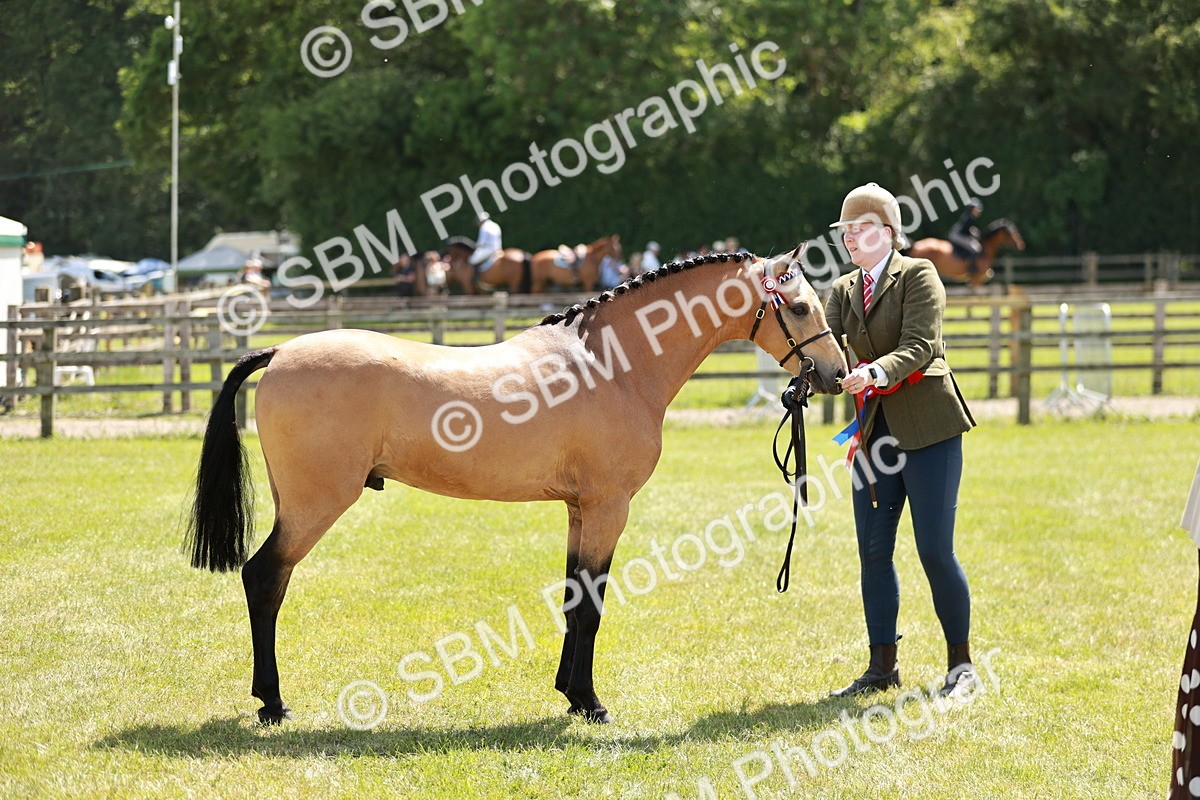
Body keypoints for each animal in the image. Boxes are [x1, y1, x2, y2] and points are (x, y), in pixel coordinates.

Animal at [185, 247, 847, 726]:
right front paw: (593, 705)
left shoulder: (580, 510)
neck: (613, 364)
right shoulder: (608, 508)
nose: (836, 375)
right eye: (798, 307)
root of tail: (279, 351)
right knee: (264, 578)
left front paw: (571, 694)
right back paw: (273, 703)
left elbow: (576, 597)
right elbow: (592, 607)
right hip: (314, 506)